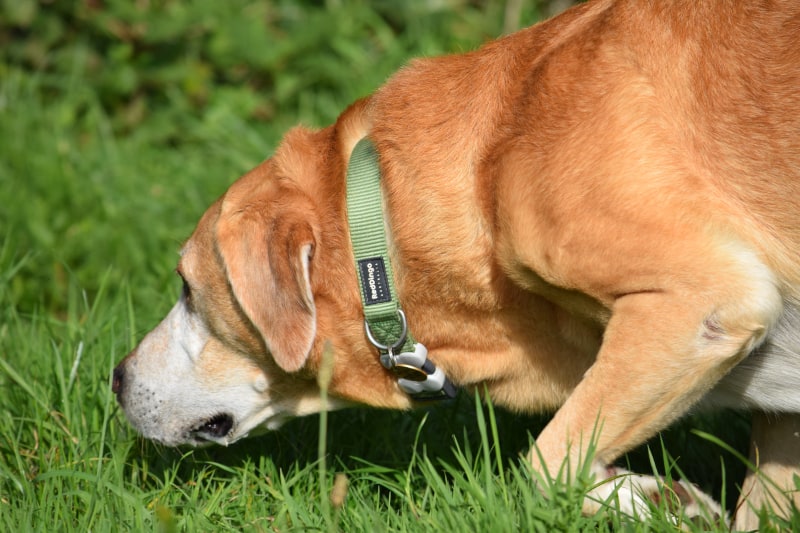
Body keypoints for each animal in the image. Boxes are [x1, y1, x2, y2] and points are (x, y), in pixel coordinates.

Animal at [112, 0, 800, 524]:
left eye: (186, 288)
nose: (115, 380)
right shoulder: (780, 423)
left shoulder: (701, 302)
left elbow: (547, 462)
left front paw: (660, 499)